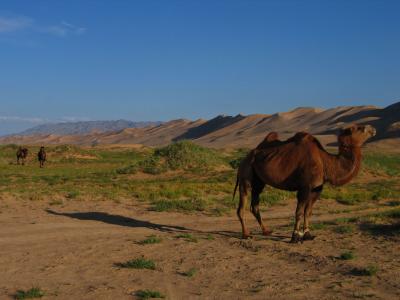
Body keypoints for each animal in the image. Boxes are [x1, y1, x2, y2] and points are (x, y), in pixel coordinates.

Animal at [233, 125, 376, 244]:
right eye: (359, 128)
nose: (373, 129)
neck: (325, 161)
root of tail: (243, 160)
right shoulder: (304, 187)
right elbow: (299, 212)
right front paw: (295, 237)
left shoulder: (317, 188)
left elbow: (308, 212)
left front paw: (307, 234)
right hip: (246, 174)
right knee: (242, 204)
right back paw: (246, 234)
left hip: (259, 182)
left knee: (255, 205)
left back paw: (266, 231)